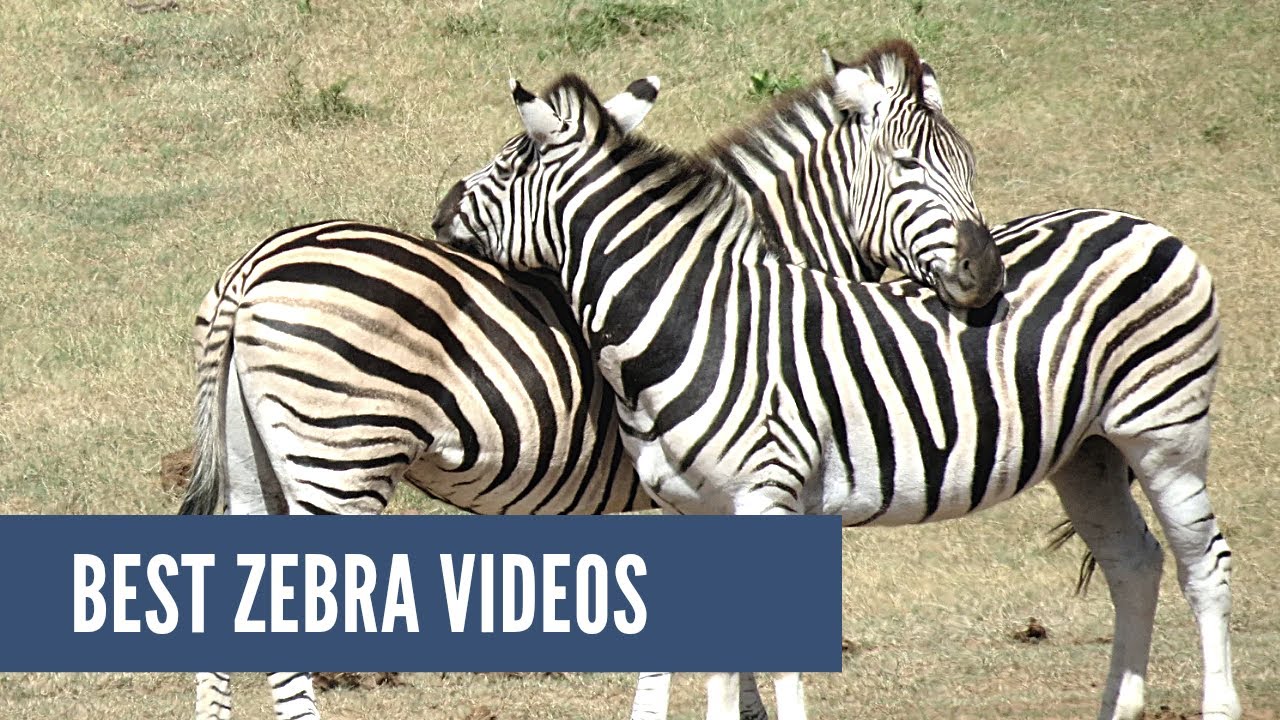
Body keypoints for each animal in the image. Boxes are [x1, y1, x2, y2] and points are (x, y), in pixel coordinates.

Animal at [182, 45, 1010, 720]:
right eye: (908, 167)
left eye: (968, 165)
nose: (986, 274)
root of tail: (253, 270)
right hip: (340, 453)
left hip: (258, 458)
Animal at [429, 58, 1241, 720]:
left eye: (508, 163)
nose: (438, 210)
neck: (693, 314)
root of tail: (1142, 224)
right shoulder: (685, 508)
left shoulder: (766, 495)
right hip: (1088, 453)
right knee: (1135, 564)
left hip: (1164, 431)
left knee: (1204, 563)